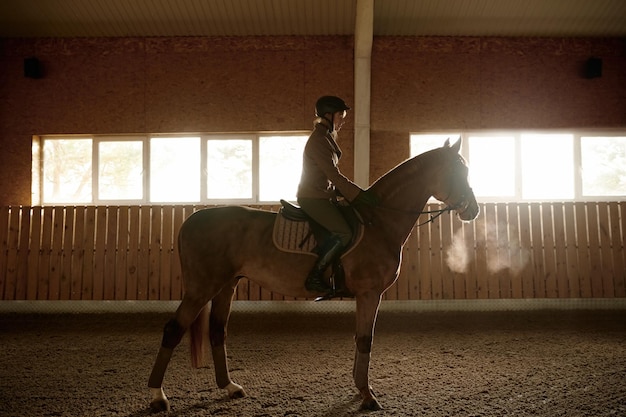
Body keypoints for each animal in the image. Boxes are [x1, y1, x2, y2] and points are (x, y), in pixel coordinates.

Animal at [146, 138, 478, 412]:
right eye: (457, 171)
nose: (472, 210)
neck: (378, 221)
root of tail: (193, 219)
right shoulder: (369, 293)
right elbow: (365, 340)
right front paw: (367, 396)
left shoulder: (366, 295)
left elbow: (360, 339)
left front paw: (361, 389)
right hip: (202, 287)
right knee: (173, 329)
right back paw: (157, 397)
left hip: (226, 286)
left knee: (217, 330)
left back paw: (228, 387)